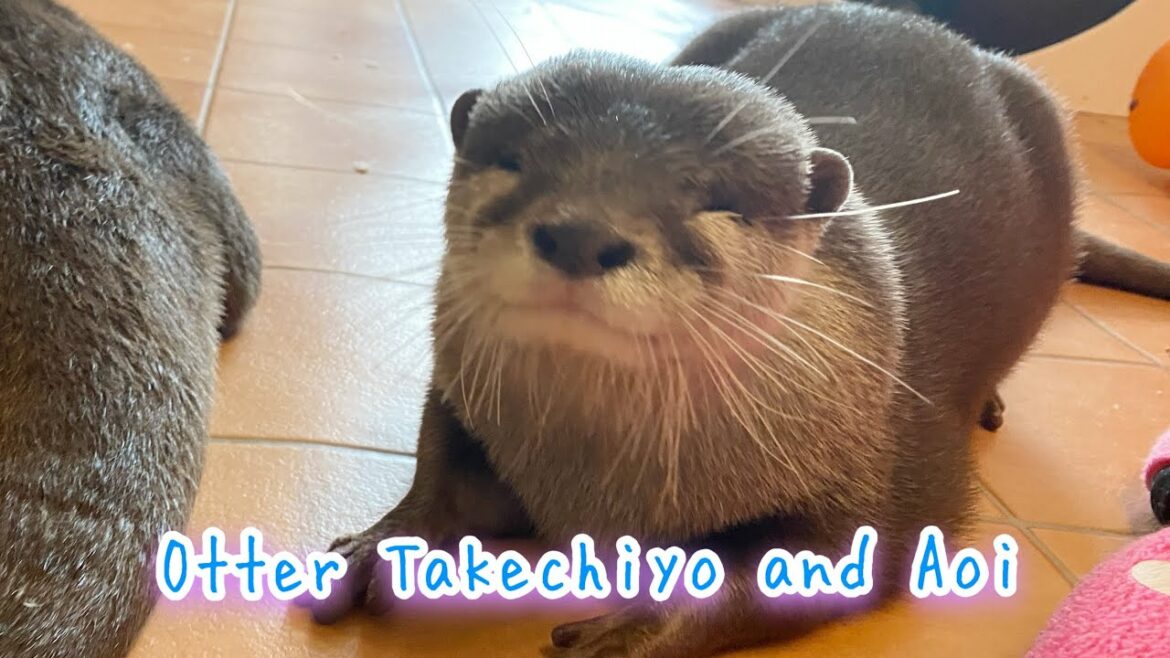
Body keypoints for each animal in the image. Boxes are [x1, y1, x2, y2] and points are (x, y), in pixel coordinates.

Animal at [310, 3, 1167, 657]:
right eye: (514, 160)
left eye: (717, 201)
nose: (582, 234)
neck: (596, 483)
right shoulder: (468, 397)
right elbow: (442, 470)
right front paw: (377, 545)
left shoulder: (882, 473)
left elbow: (809, 570)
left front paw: (633, 629)